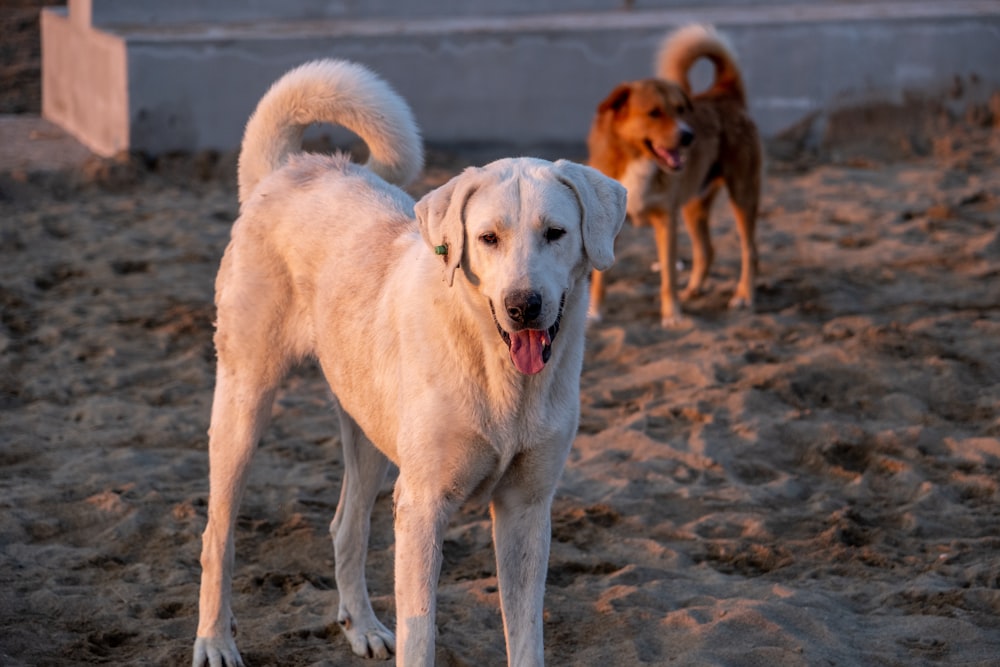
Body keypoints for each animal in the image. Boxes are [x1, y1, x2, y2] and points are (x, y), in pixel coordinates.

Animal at [191, 58, 620, 667]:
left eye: (555, 234)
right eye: (488, 238)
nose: (523, 306)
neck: (498, 373)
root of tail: (289, 170)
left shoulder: (527, 509)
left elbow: (525, 637)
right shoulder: (422, 507)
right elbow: (421, 635)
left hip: (366, 427)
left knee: (345, 526)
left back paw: (363, 627)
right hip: (244, 402)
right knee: (217, 534)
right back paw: (214, 640)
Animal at [584, 24, 756, 328]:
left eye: (680, 110)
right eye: (654, 113)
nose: (689, 136)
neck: (637, 159)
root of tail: (724, 92)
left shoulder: (666, 220)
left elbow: (668, 274)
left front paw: (672, 314)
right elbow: (601, 279)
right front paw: (595, 313)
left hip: (743, 195)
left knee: (749, 250)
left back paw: (743, 295)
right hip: (693, 205)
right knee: (707, 250)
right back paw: (694, 290)